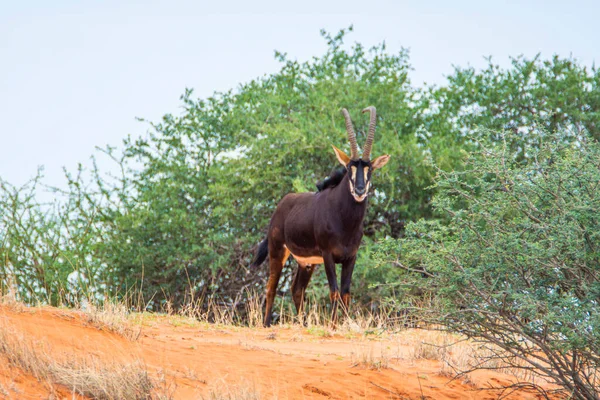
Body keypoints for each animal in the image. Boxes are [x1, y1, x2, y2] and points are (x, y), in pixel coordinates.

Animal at [248, 107, 390, 328]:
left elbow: (346, 293)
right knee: (271, 287)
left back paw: (303, 324)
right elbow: (334, 292)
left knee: (297, 290)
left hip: (306, 263)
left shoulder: (351, 257)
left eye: (370, 169)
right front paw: (333, 325)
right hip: (278, 252)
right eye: (349, 168)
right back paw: (266, 324)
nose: (359, 190)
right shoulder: (328, 255)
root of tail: (282, 205)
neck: (345, 221)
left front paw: (344, 324)